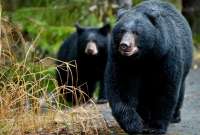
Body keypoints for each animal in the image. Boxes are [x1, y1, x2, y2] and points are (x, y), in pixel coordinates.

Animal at [105, 0, 193, 134]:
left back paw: (175, 116)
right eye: (122, 31)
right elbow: (121, 88)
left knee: (180, 88)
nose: (125, 45)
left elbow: (165, 89)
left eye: (136, 32)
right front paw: (134, 124)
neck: (144, 58)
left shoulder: (166, 55)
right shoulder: (120, 60)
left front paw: (155, 127)